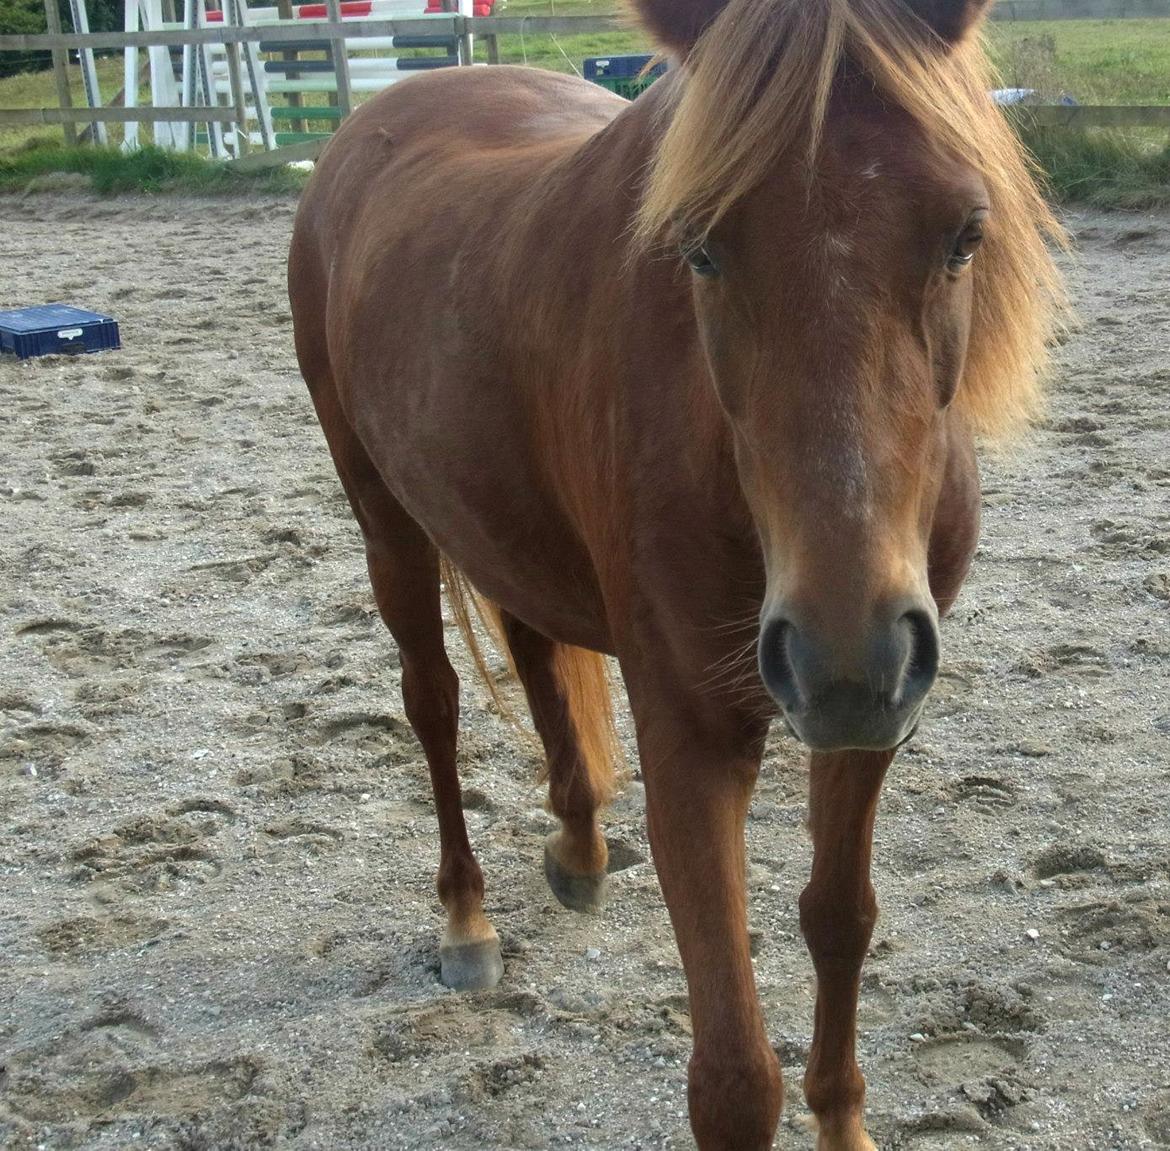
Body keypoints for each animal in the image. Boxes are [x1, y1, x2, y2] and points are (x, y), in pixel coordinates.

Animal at [288, 0, 1062, 1146]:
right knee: (432, 702)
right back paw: (467, 915)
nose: (843, 652)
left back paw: (578, 845)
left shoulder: (877, 718)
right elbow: (734, 1078)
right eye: (699, 248)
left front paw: (844, 1118)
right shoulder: (694, 732)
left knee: (534, 648)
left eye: (966, 232)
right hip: (387, 519)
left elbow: (840, 918)